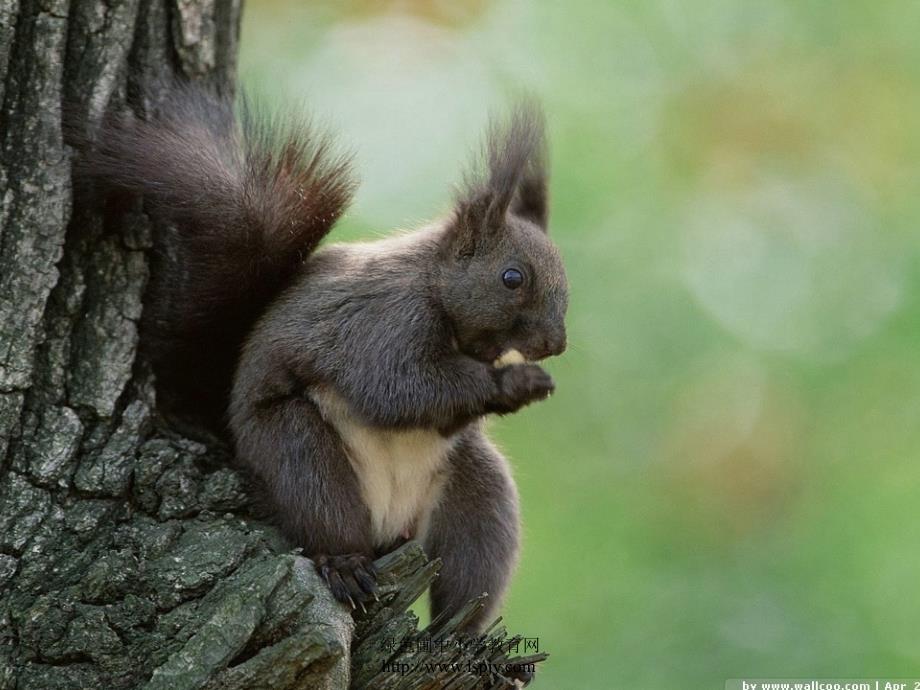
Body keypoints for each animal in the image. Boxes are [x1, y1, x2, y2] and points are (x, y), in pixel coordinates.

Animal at [86, 83, 572, 632]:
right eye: (512, 277)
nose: (557, 343)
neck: (434, 286)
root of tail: (388, 527)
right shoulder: (381, 325)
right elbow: (397, 390)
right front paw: (514, 382)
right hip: (299, 453)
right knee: (327, 513)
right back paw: (344, 563)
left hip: (479, 497)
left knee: (470, 572)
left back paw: (464, 634)